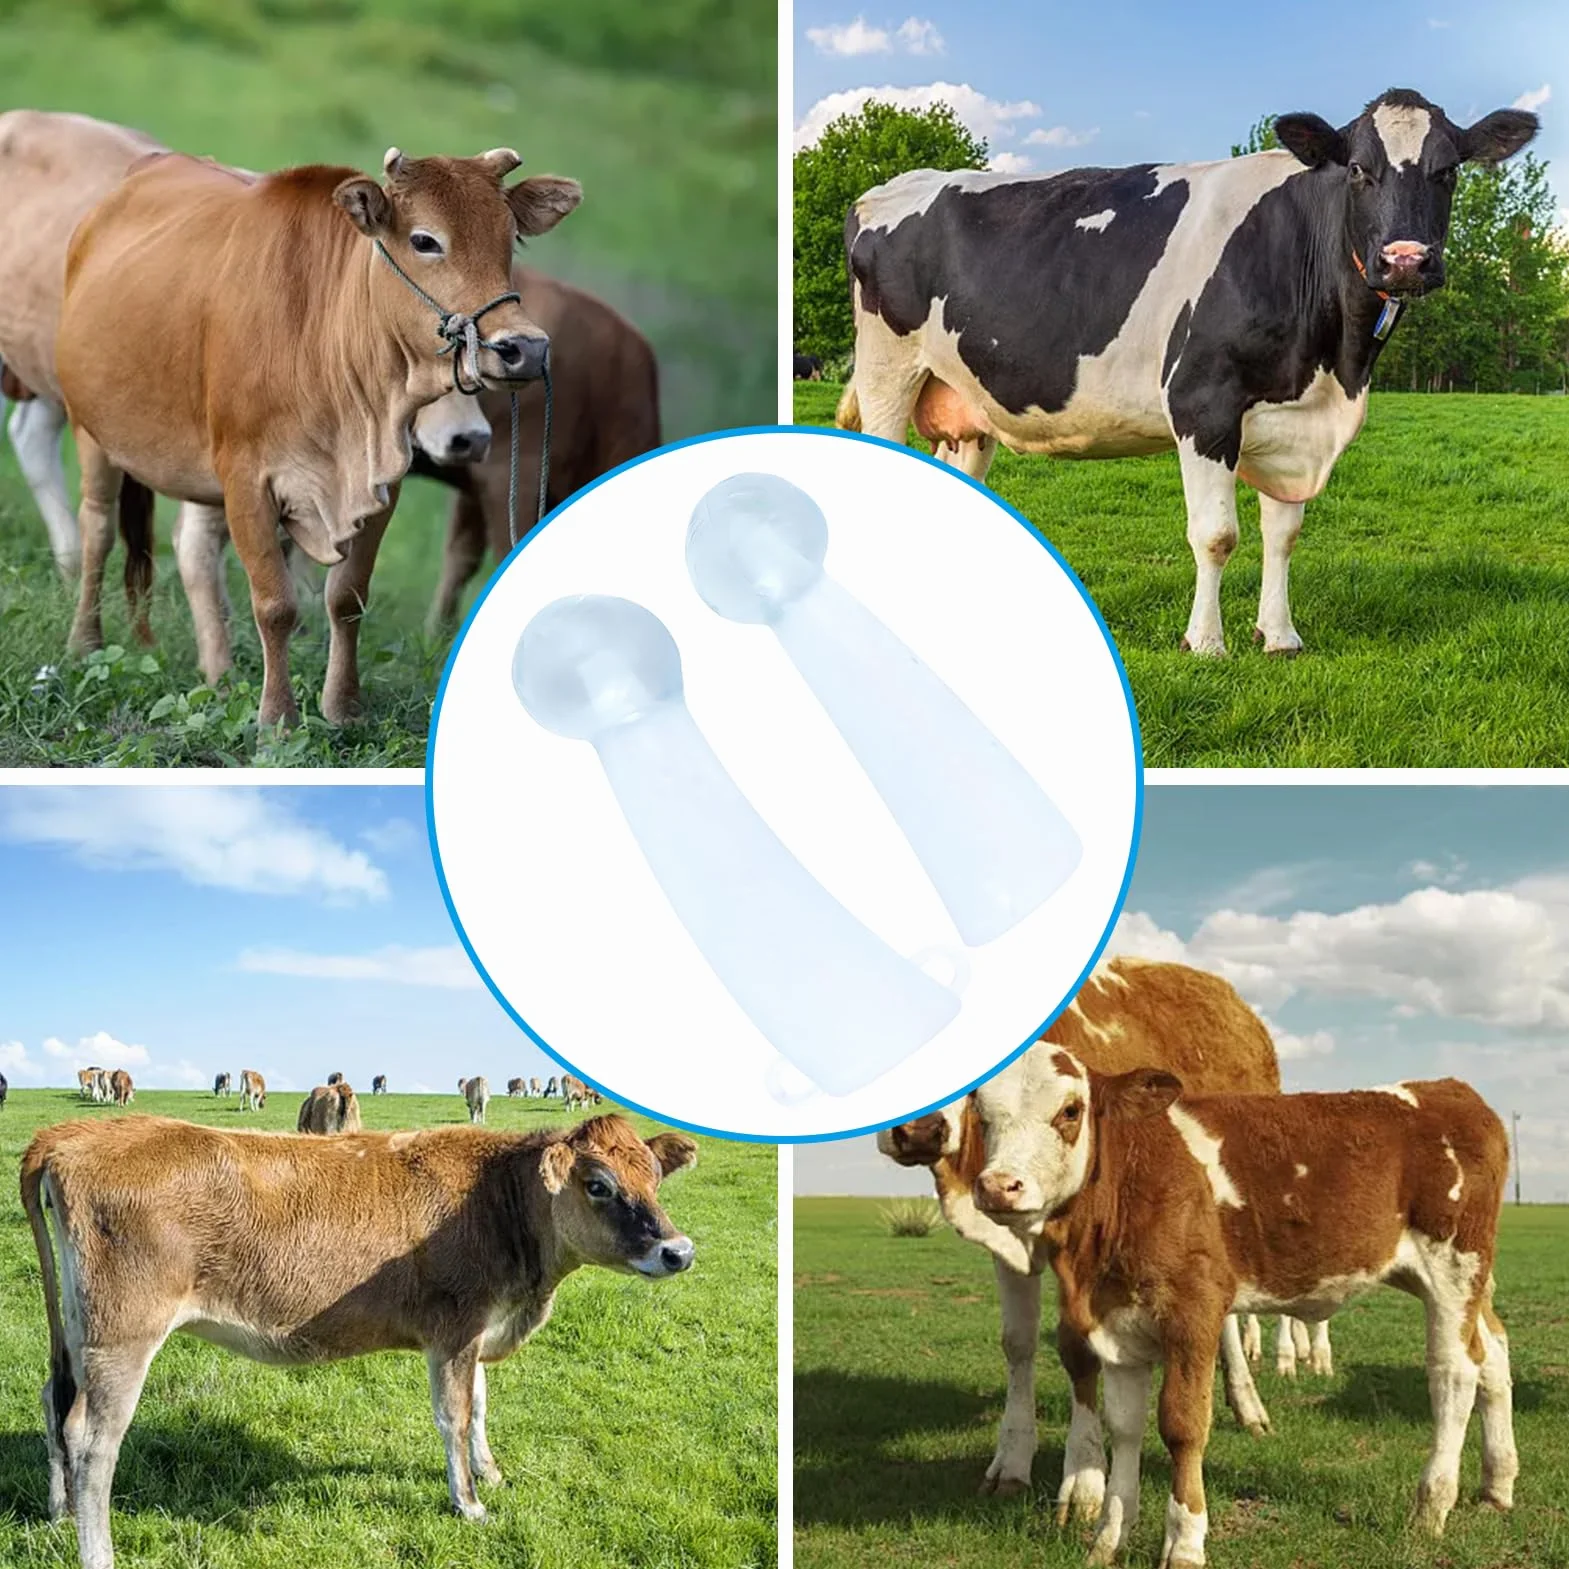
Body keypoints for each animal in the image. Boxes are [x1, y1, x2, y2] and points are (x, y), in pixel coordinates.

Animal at [21, 1113, 697, 1568]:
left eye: (655, 1177)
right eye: (598, 1184)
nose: (679, 1250)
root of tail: (74, 1132)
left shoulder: (477, 1329)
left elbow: (480, 1404)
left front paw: (491, 1472)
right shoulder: (455, 1328)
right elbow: (453, 1415)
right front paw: (468, 1502)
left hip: (79, 1330)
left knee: (56, 1406)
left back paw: (57, 1515)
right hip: (122, 1335)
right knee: (94, 1443)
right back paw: (96, 1550)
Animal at [55, 145, 580, 727]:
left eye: (510, 238)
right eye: (425, 240)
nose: (523, 347)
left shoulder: (382, 483)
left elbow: (347, 598)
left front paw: (343, 708)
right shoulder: (246, 480)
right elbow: (275, 605)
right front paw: (276, 718)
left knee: (193, 549)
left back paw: (218, 675)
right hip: (91, 429)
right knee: (98, 531)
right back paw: (84, 643)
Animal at [839, 89, 1538, 656]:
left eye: (1448, 171)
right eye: (1359, 169)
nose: (1405, 261)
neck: (1334, 365)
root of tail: (883, 189)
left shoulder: (1291, 420)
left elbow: (1284, 534)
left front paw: (1279, 636)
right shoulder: (1204, 402)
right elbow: (1217, 535)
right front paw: (1205, 643)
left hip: (967, 399)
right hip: (886, 371)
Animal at [877, 957, 1325, 1502]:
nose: (919, 1131)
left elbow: (1079, 1346)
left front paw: (1083, 1479)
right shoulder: (1006, 1236)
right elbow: (1018, 1342)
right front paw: (1013, 1459)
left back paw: (1248, 1404)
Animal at [969, 1061, 1515, 1567]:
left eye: (1070, 1110)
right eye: (982, 1113)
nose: (998, 1185)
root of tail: (1447, 1089)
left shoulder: (1193, 1312)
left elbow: (1183, 1425)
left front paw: (1185, 1541)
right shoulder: (1118, 1324)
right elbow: (1124, 1427)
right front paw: (1108, 1539)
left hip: (1453, 1266)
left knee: (1454, 1373)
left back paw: (1432, 1505)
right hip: (1454, 1280)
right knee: (1493, 1354)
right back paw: (1497, 1484)